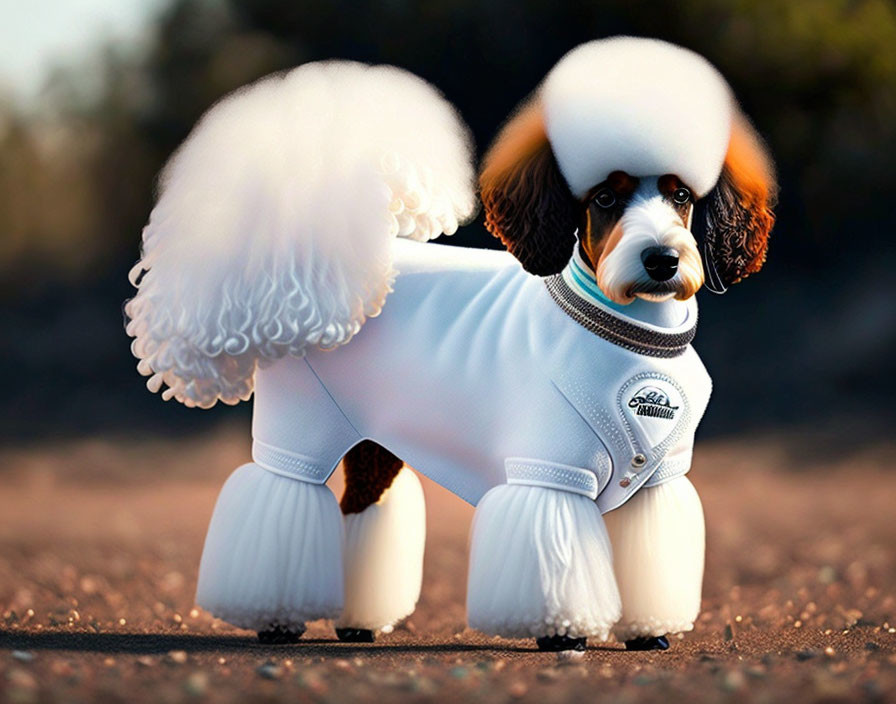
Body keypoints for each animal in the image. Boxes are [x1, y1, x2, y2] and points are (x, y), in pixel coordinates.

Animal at [126, 37, 776, 656]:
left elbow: (650, 562)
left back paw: (357, 622)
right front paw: (561, 632)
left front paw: (649, 631)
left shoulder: (657, 480)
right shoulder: (549, 473)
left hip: (376, 440)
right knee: (282, 495)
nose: (662, 259)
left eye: (682, 196)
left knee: (361, 506)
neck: (632, 336)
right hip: (298, 430)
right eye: (605, 200)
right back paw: (275, 619)